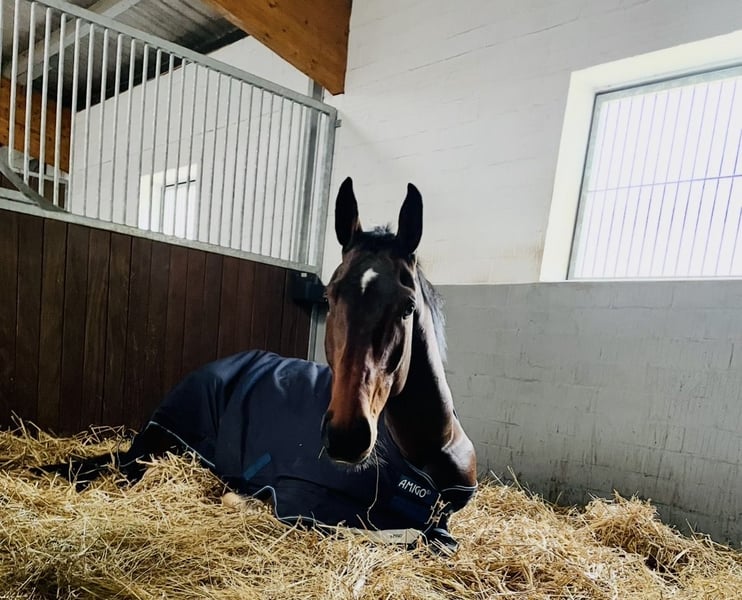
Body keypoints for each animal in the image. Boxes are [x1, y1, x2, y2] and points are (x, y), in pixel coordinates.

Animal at [42, 177, 478, 549]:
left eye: (407, 306)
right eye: (330, 295)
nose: (347, 436)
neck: (429, 451)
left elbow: (432, 536)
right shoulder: (302, 500)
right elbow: (399, 534)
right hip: (161, 440)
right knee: (127, 467)